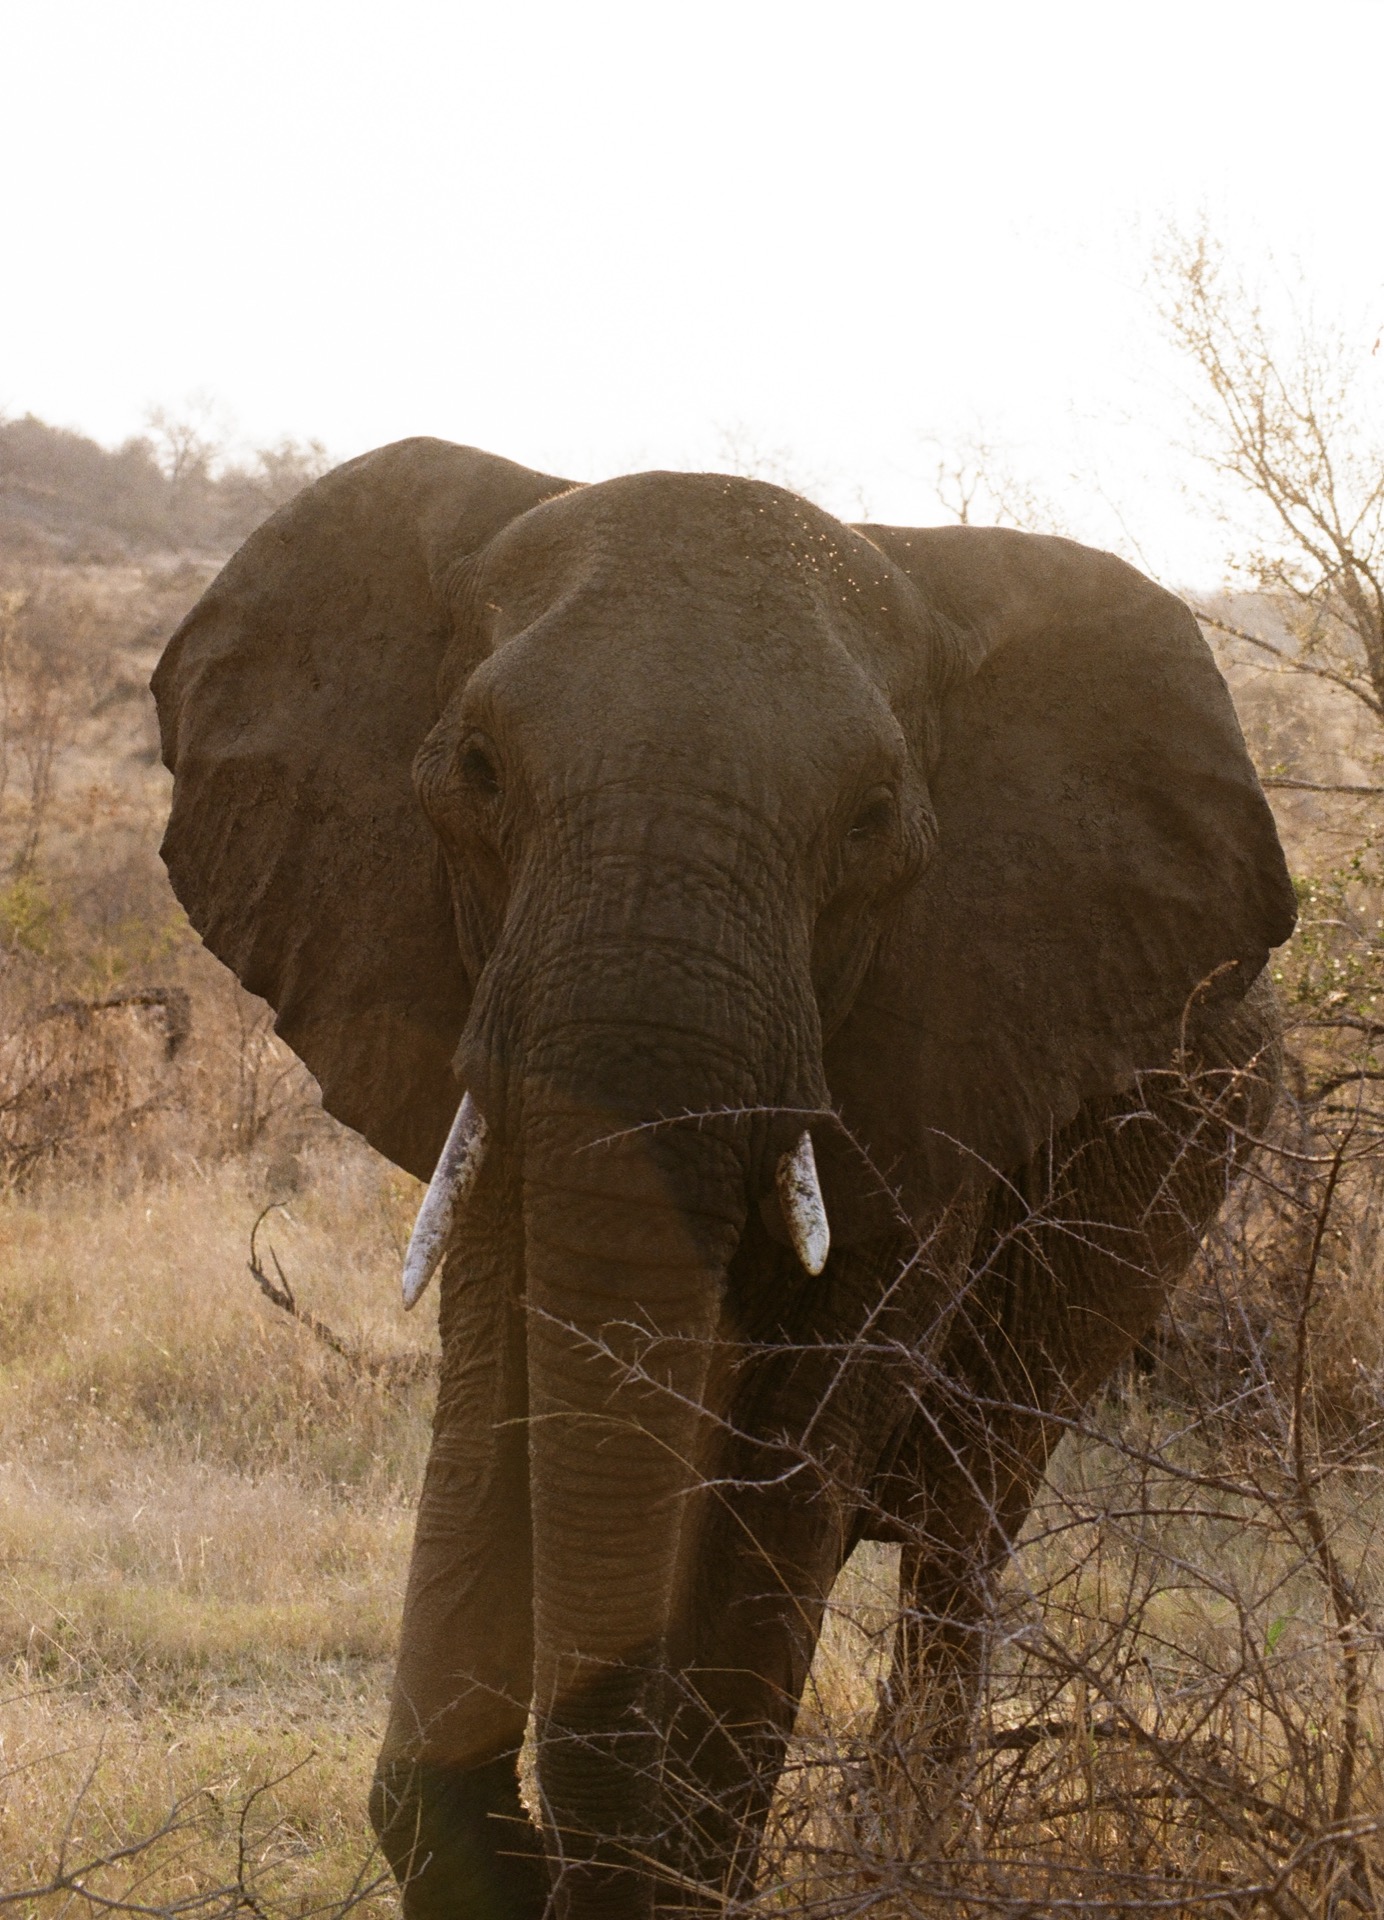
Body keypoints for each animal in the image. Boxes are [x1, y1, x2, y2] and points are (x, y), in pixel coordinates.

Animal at [150, 439, 1295, 1919]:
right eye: (479, 771)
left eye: (871, 822)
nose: (544, 1851)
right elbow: (494, 1392)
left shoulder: (942, 1051)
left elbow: (785, 1453)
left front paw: (671, 1862)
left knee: (965, 1528)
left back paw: (912, 1858)